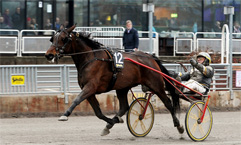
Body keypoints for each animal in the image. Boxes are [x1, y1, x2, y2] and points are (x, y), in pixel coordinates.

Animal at [44, 25, 185, 136]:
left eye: (64, 39)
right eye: (52, 38)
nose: (49, 55)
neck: (90, 58)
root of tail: (151, 57)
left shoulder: (90, 87)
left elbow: (77, 100)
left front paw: (65, 114)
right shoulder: (89, 91)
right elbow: (98, 113)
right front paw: (111, 122)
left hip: (156, 85)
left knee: (168, 103)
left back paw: (179, 125)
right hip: (122, 88)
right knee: (124, 107)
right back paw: (114, 121)